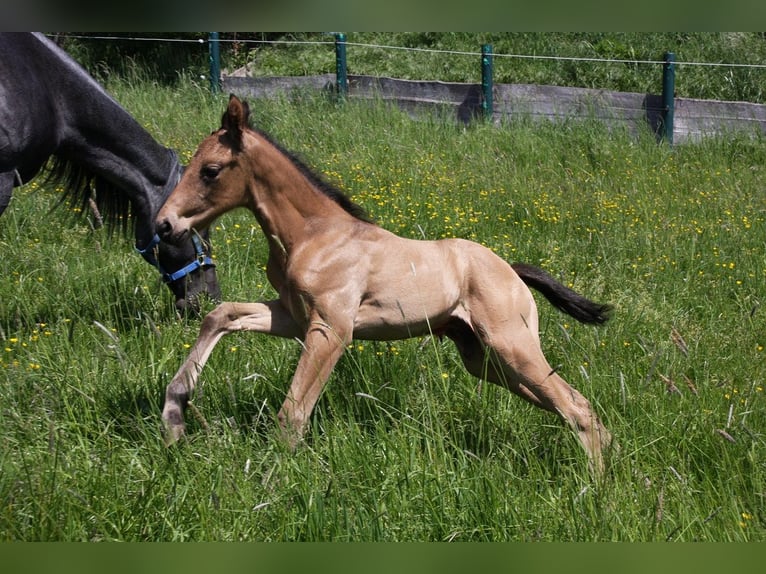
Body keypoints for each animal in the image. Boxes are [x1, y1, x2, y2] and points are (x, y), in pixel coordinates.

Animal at [158, 95, 616, 476]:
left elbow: (292, 414)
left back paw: (595, 491)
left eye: (211, 170)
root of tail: (513, 271)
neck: (313, 235)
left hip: (512, 346)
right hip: (483, 358)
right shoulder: (293, 316)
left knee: (577, 408)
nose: (164, 224)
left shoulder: (332, 328)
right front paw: (175, 414)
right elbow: (222, 315)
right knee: (569, 407)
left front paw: (276, 483)